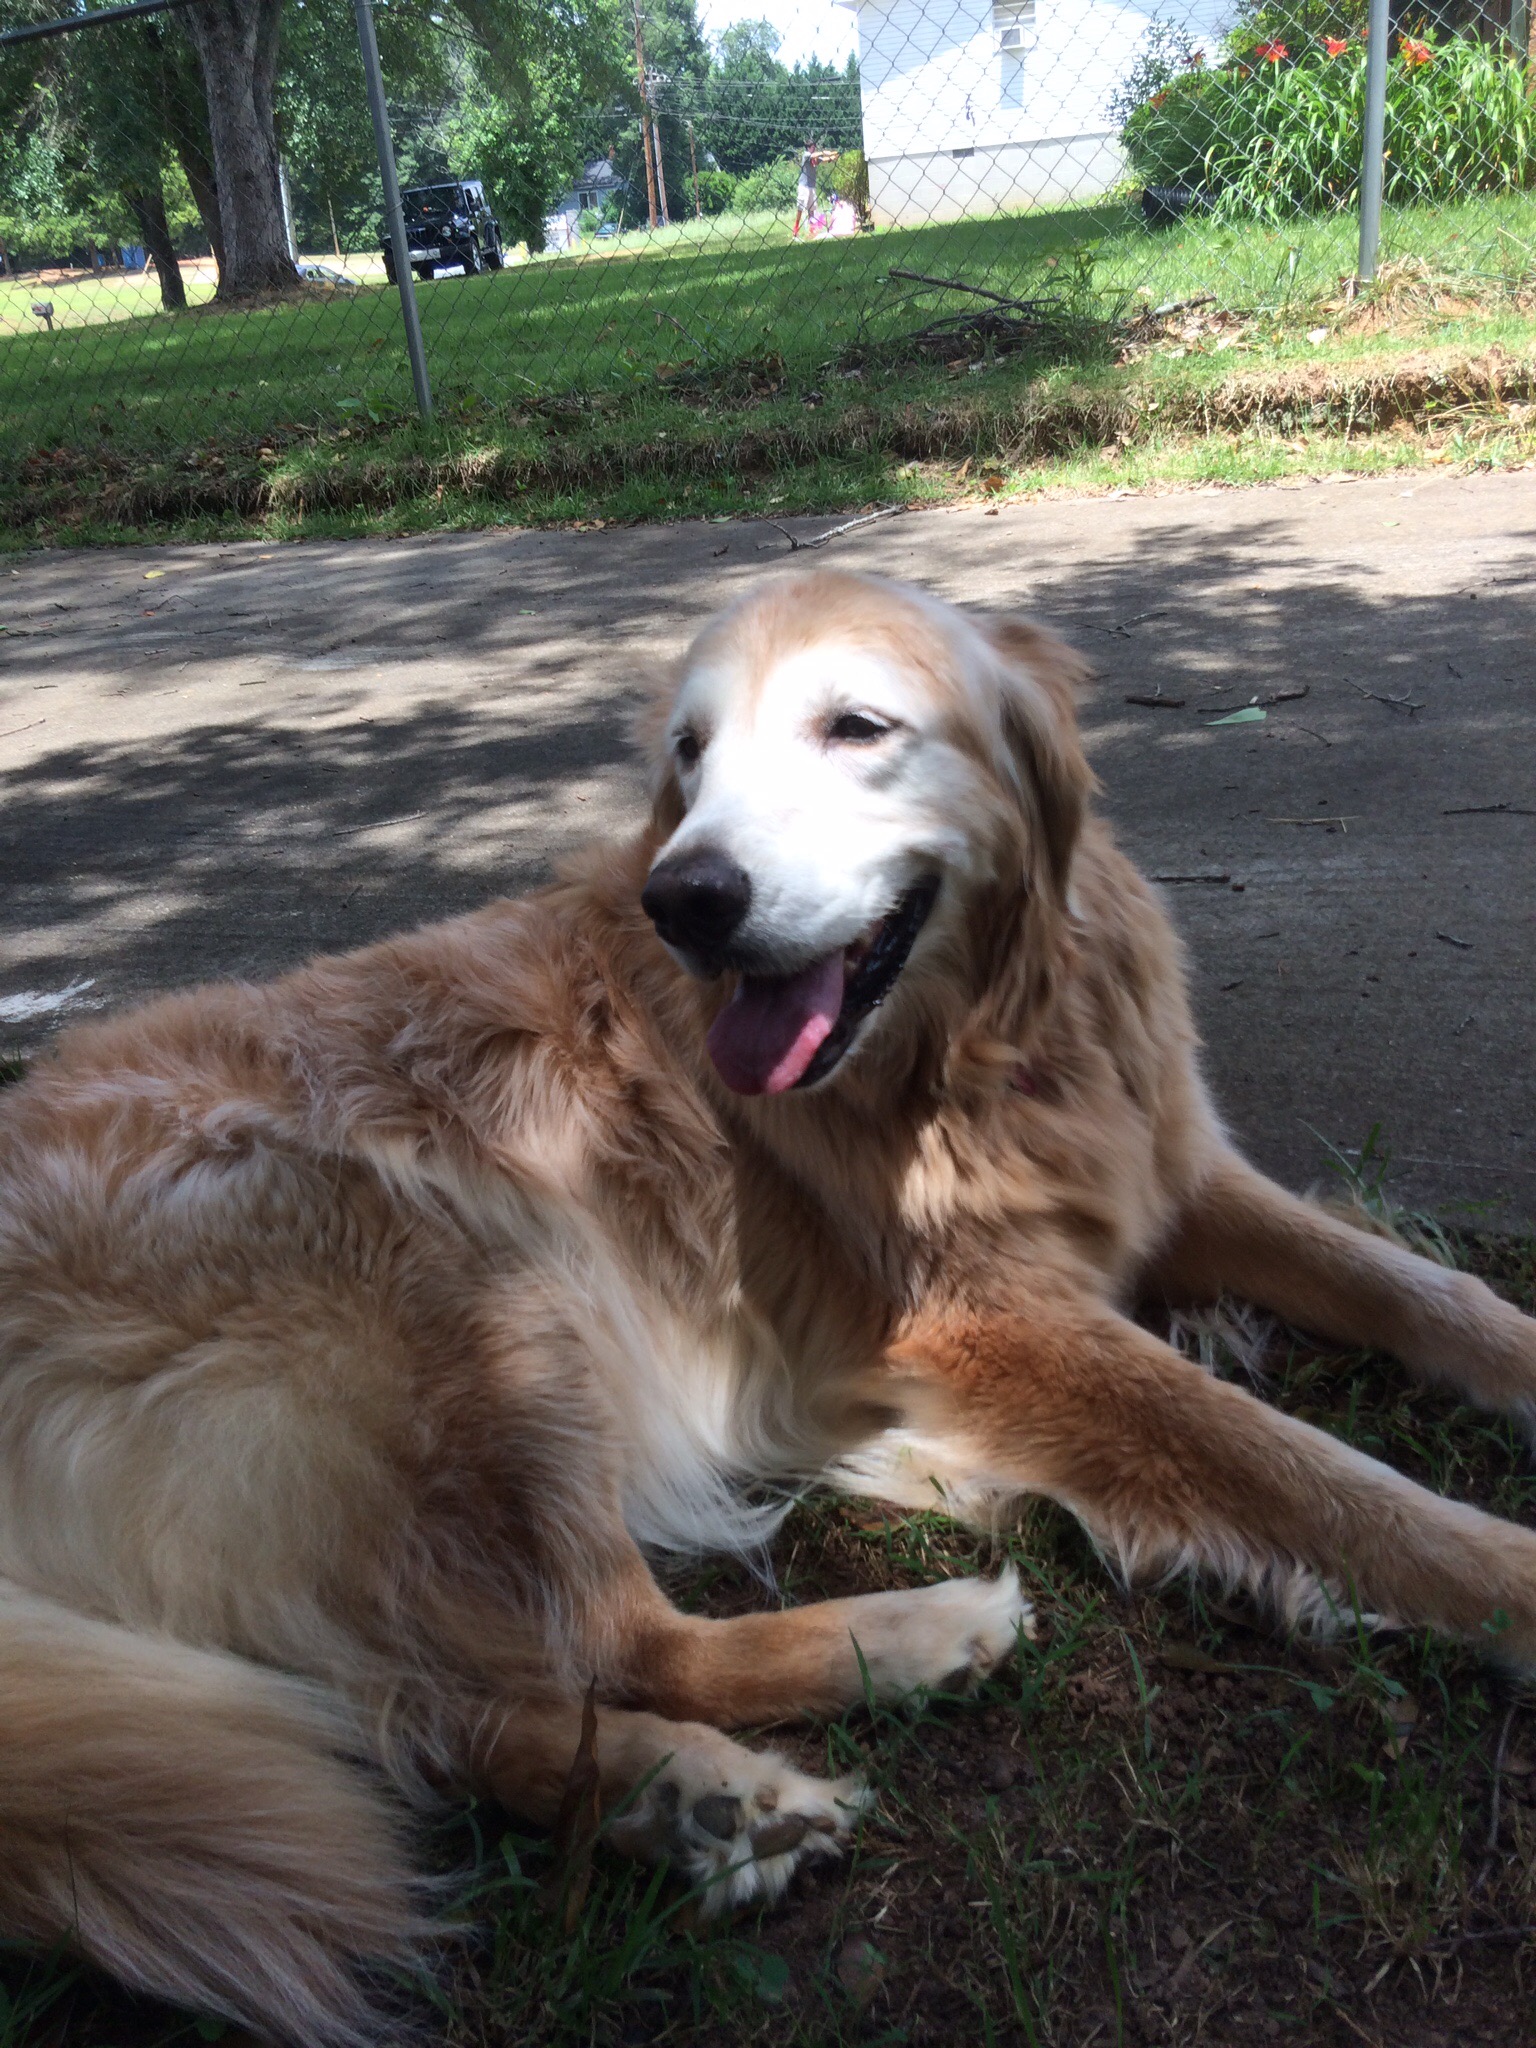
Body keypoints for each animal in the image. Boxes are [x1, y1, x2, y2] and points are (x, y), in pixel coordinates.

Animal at [3, 570, 1535, 2042]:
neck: (984, 1048)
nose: (687, 898)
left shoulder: (1179, 1178)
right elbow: (1309, 1470)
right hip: (470, 1267)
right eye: (688, 754)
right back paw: (910, 1642)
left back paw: (700, 1793)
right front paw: (1508, 1577)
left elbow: (1435, 1292)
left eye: (856, 727)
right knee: (618, 1643)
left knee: (436, 1718)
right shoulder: (979, 1313)